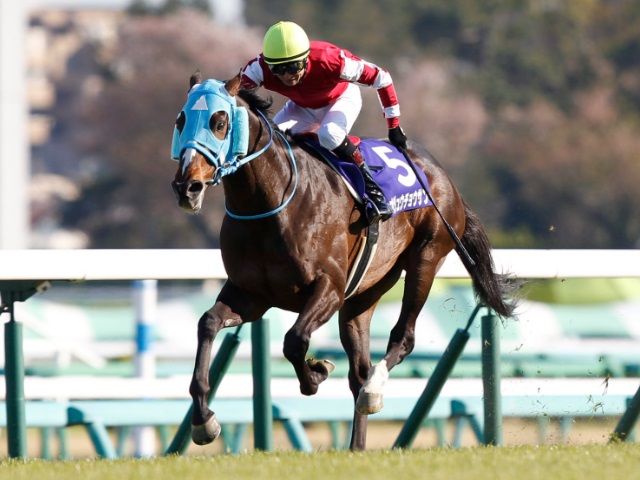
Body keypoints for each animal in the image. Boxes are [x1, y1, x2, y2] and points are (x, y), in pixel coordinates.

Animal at [170, 71, 516, 450]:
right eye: (181, 121)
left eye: (219, 122)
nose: (186, 187)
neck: (268, 204)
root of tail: (441, 175)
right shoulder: (251, 295)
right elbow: (207, 324)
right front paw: (204, 421)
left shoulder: (329, 288)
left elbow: (294, 340)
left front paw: (317, 372)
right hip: (364, 293)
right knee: (358, 370)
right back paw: (356, 443)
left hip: (426, 257)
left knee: (402, 339)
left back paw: (374, 389)